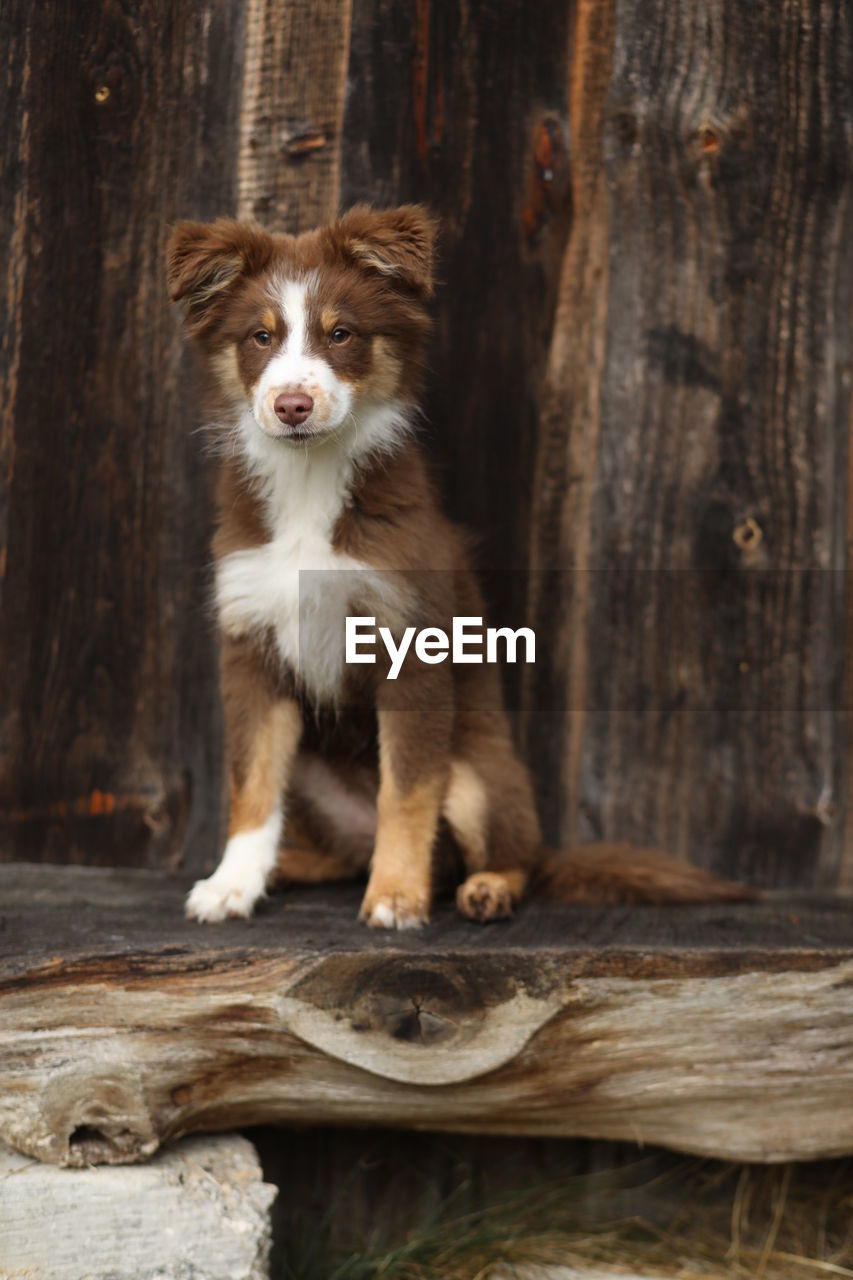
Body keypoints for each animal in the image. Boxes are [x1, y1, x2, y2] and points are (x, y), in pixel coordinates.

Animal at [163, 207, 742, 931]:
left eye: (341, 334)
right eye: (260, 337)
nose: (292, 405)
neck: (310, 481)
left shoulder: (411, 648)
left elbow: (408, 790)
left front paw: (394, 896)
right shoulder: (250, 651)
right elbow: (251, 781)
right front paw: (232, 882)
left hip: (479, 776)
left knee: (514, 854)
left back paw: (484, 886)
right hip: (314, 763)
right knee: (345, 848)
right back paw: (293, 865)